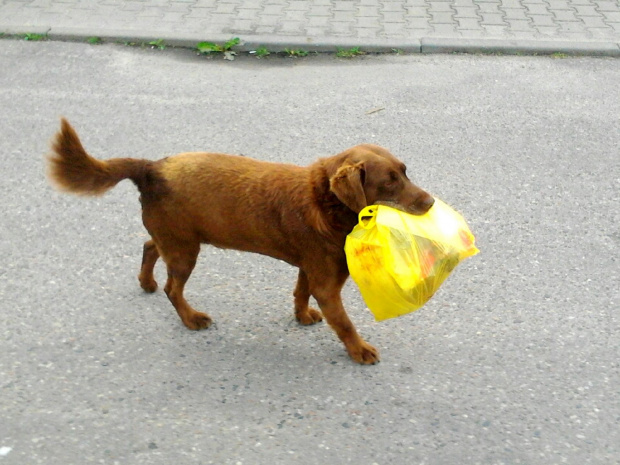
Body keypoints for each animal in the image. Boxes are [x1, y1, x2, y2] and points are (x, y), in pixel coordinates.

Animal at [48, 118, 434, 362]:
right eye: (389, 182)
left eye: (405, 171)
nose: (431, 202)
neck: (328, 202)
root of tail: (150, 167)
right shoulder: (327, 283)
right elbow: (344, 323)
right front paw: (359, 351)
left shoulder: (308, 268)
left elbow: (299, 293)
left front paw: (302, 316)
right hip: (185, 249)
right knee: (174, 288)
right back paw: (191, 318)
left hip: (176, 236)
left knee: (149, 247)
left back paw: (146, 283)